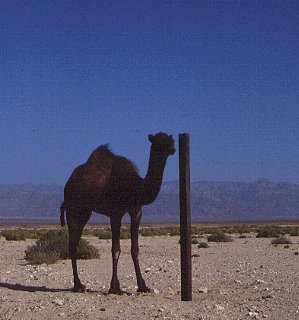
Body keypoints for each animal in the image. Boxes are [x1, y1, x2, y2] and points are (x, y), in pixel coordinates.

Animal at [60, 132, 176, 292]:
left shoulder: (137, 211)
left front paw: (143, 285)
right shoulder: (116, 213)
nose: (172, 148)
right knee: (72, 245)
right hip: (73, 209)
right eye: (159, 142)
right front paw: (114, 287)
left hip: (85, 212)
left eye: (171, 140)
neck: (134, 186)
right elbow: (115, 249)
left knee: (74, 244)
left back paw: (79, 284)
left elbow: (135, 249)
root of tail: (68, 184)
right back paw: (78, 285)